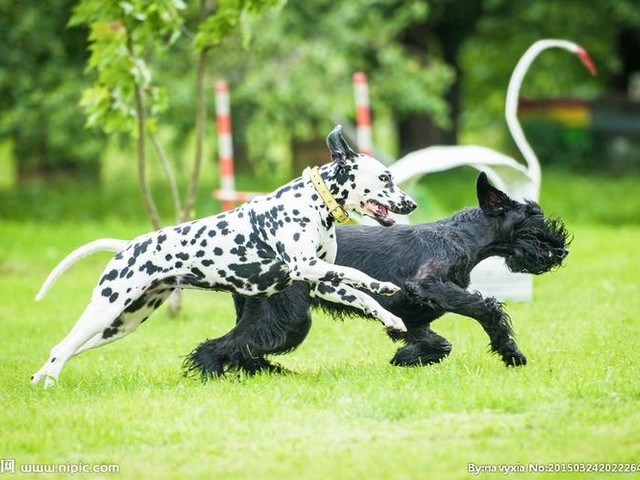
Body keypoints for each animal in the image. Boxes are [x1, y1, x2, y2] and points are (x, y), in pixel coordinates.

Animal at [32, 125, 418, 388]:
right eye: (385, 177)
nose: (411, 204)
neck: (312, 202)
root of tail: (128, 245)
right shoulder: (309, 267)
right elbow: (361, 277)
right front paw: (382, 285)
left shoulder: (321, 281)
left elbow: (362, 296)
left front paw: (390, 318)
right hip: (105, 309)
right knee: (61, 348)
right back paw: (50, 384)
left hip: (120, 324)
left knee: (62, 349)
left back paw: (39, 379)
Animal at [185, 172, 568, 378]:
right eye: (533, 221)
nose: (561, 250)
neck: (464, 237)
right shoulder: (430, 284)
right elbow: (485, 308)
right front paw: (511, 353)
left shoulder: (413, 317)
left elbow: (438, 343)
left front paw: (407, 358)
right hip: (287, 319)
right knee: (221, 346)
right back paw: (210, 371)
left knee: (242, 349)